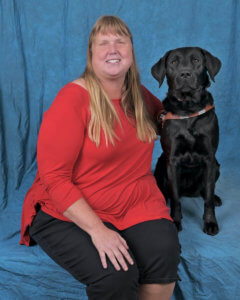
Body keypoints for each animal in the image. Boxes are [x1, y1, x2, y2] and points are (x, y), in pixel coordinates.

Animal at [152, 47, 221, 236]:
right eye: (173, 62)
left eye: (196, 60)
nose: (184, 74)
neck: (188, 109)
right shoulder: (172, 161)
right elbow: (176, 198)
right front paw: (175, 221)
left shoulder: (210, 159)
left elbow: (208, 198)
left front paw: (210, 222)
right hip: (161, 165)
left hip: (217, 166)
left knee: (206, 192)